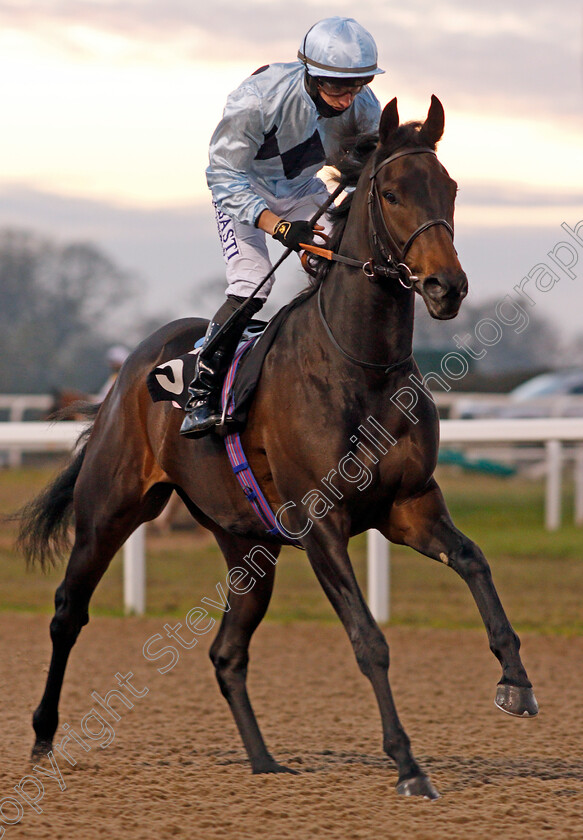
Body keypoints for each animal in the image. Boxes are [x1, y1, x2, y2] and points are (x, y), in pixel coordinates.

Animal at [18, 95, 540, 796]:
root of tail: (133, 368)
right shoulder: (322, 524)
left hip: (247, 546)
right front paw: (407, 763)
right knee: (68, 612)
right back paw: (44, 738)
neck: (360, 368)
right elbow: (369, 640)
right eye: (393, 192)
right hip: (110, 510)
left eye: (450, 188)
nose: (445, 287)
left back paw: (264, 761)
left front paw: (515, 680)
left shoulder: (409, 505)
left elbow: (475, 561)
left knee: (225, 652)